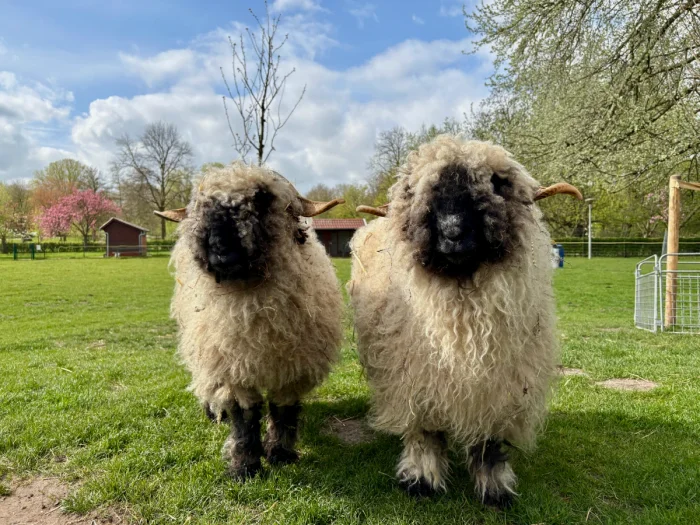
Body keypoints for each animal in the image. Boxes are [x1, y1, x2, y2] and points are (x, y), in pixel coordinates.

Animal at [156, 162, 345, 479]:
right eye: (201, 204)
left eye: (263, 197)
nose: (220, 250)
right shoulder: (232, 367)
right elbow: (244, 417)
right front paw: (245, 467)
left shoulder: (293, 367)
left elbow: (283, 411)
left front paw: (280, 454)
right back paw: (213, 412)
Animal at [349, 135, 581, 507]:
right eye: (414, 190)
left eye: (497, 183)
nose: (453, 231)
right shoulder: (417, 379)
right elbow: (425, 433)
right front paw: (421, 479)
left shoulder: (500, 387)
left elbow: (490, 441)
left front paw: (495, 488)